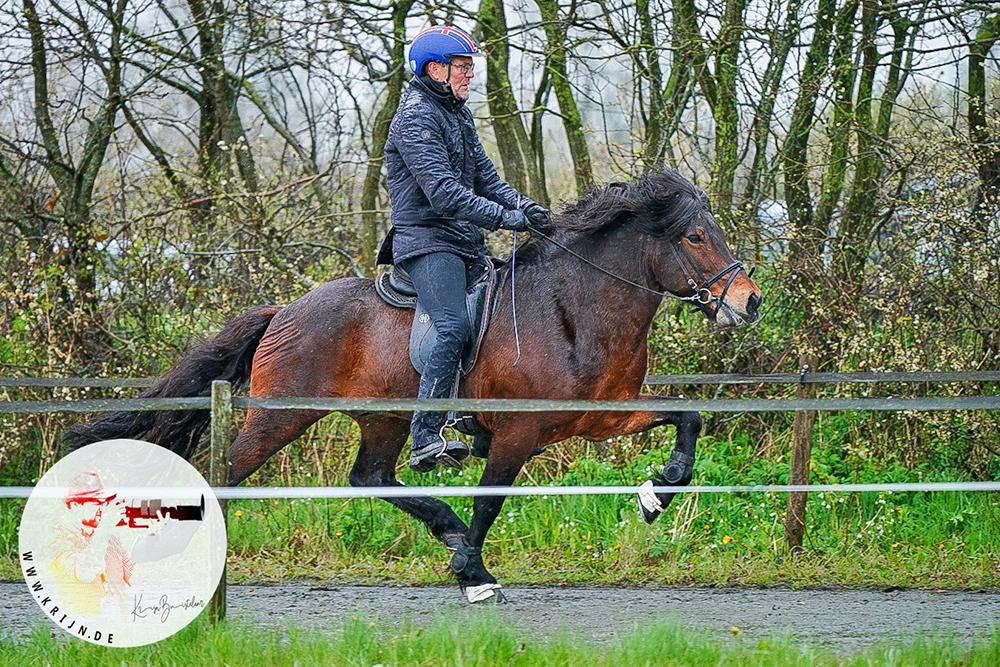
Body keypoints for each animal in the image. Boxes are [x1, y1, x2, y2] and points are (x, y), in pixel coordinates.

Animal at [66, 170, 760, 604]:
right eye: (695, 237)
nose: (749, 303)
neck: (576, 306)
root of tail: (286, 310)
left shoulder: (599, 416)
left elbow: (688, 419)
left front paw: (657, 494)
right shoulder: (521, 430)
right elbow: (490, 502)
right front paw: (472, 573)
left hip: (384, 418)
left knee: (370, 477)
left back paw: (442, 524)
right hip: (282, 416)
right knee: (227, 476)